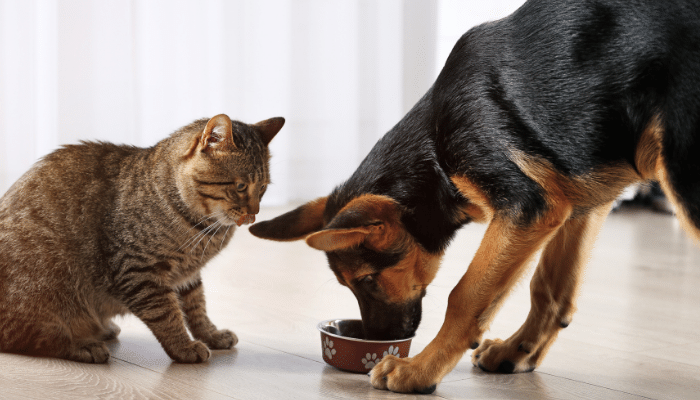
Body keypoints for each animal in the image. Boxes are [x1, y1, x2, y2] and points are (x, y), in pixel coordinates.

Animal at [0, 112, 284, 362]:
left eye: (262, 188)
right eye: (240, 186)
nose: (254, 215)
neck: (203, 228)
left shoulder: (187, 275)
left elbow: (197, 309)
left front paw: (211, 335)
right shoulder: (138, 270)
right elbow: (167, 314)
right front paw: (184, 347)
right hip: (51, 283)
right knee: (32, 337)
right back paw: (84, 346)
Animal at [252, 0, 700, 394]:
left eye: (365, 280)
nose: (376, 341)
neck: (435, 148)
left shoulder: (527, 208)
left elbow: (465, 296)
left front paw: (419, 370)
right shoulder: (580, 201)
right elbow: (550, 290)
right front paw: (518, 351)